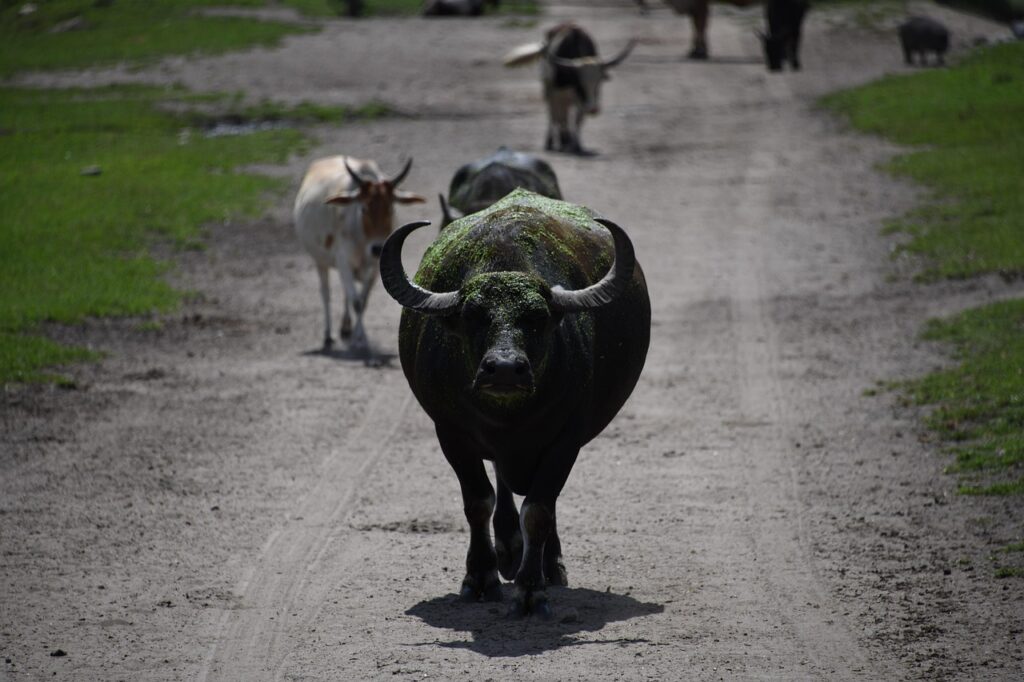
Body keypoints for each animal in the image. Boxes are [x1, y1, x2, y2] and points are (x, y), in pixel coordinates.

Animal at [380, 189, 651, 617]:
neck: (509, 417)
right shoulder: (451, 433)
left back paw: (547, 564)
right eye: (473, 316)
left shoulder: (566, 439)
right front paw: (480, 578)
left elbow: (539, 510)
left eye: (537, 318)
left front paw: (531, 588)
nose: (505, 369)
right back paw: (508, 550)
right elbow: (479, 501)